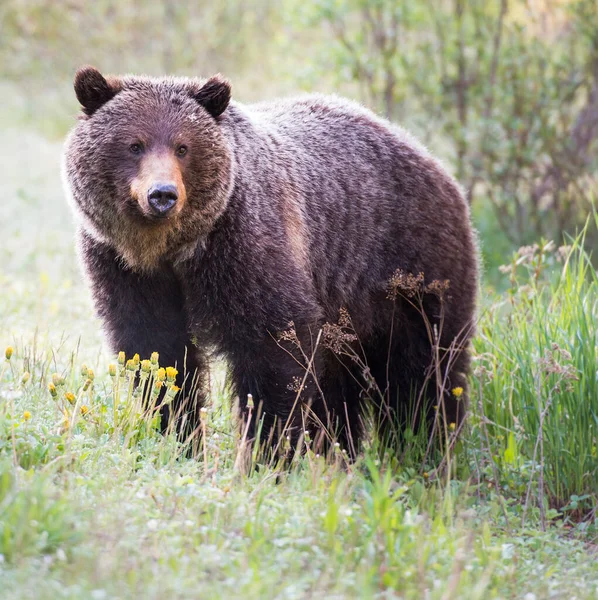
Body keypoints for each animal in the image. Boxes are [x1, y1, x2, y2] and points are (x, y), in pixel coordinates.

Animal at [63, 65, 480, 454]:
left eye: (182, 147)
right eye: (135, 145)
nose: (162, 194)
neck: (171, 249)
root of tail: (434, 163)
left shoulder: (247, 246)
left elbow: (274, 347)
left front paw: (265, 448)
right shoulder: (123, 266)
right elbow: (156, 351)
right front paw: (179, 436)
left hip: (410, 270)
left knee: (425, 369)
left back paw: (423, 448)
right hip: (347, 311)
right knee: (342, 386)